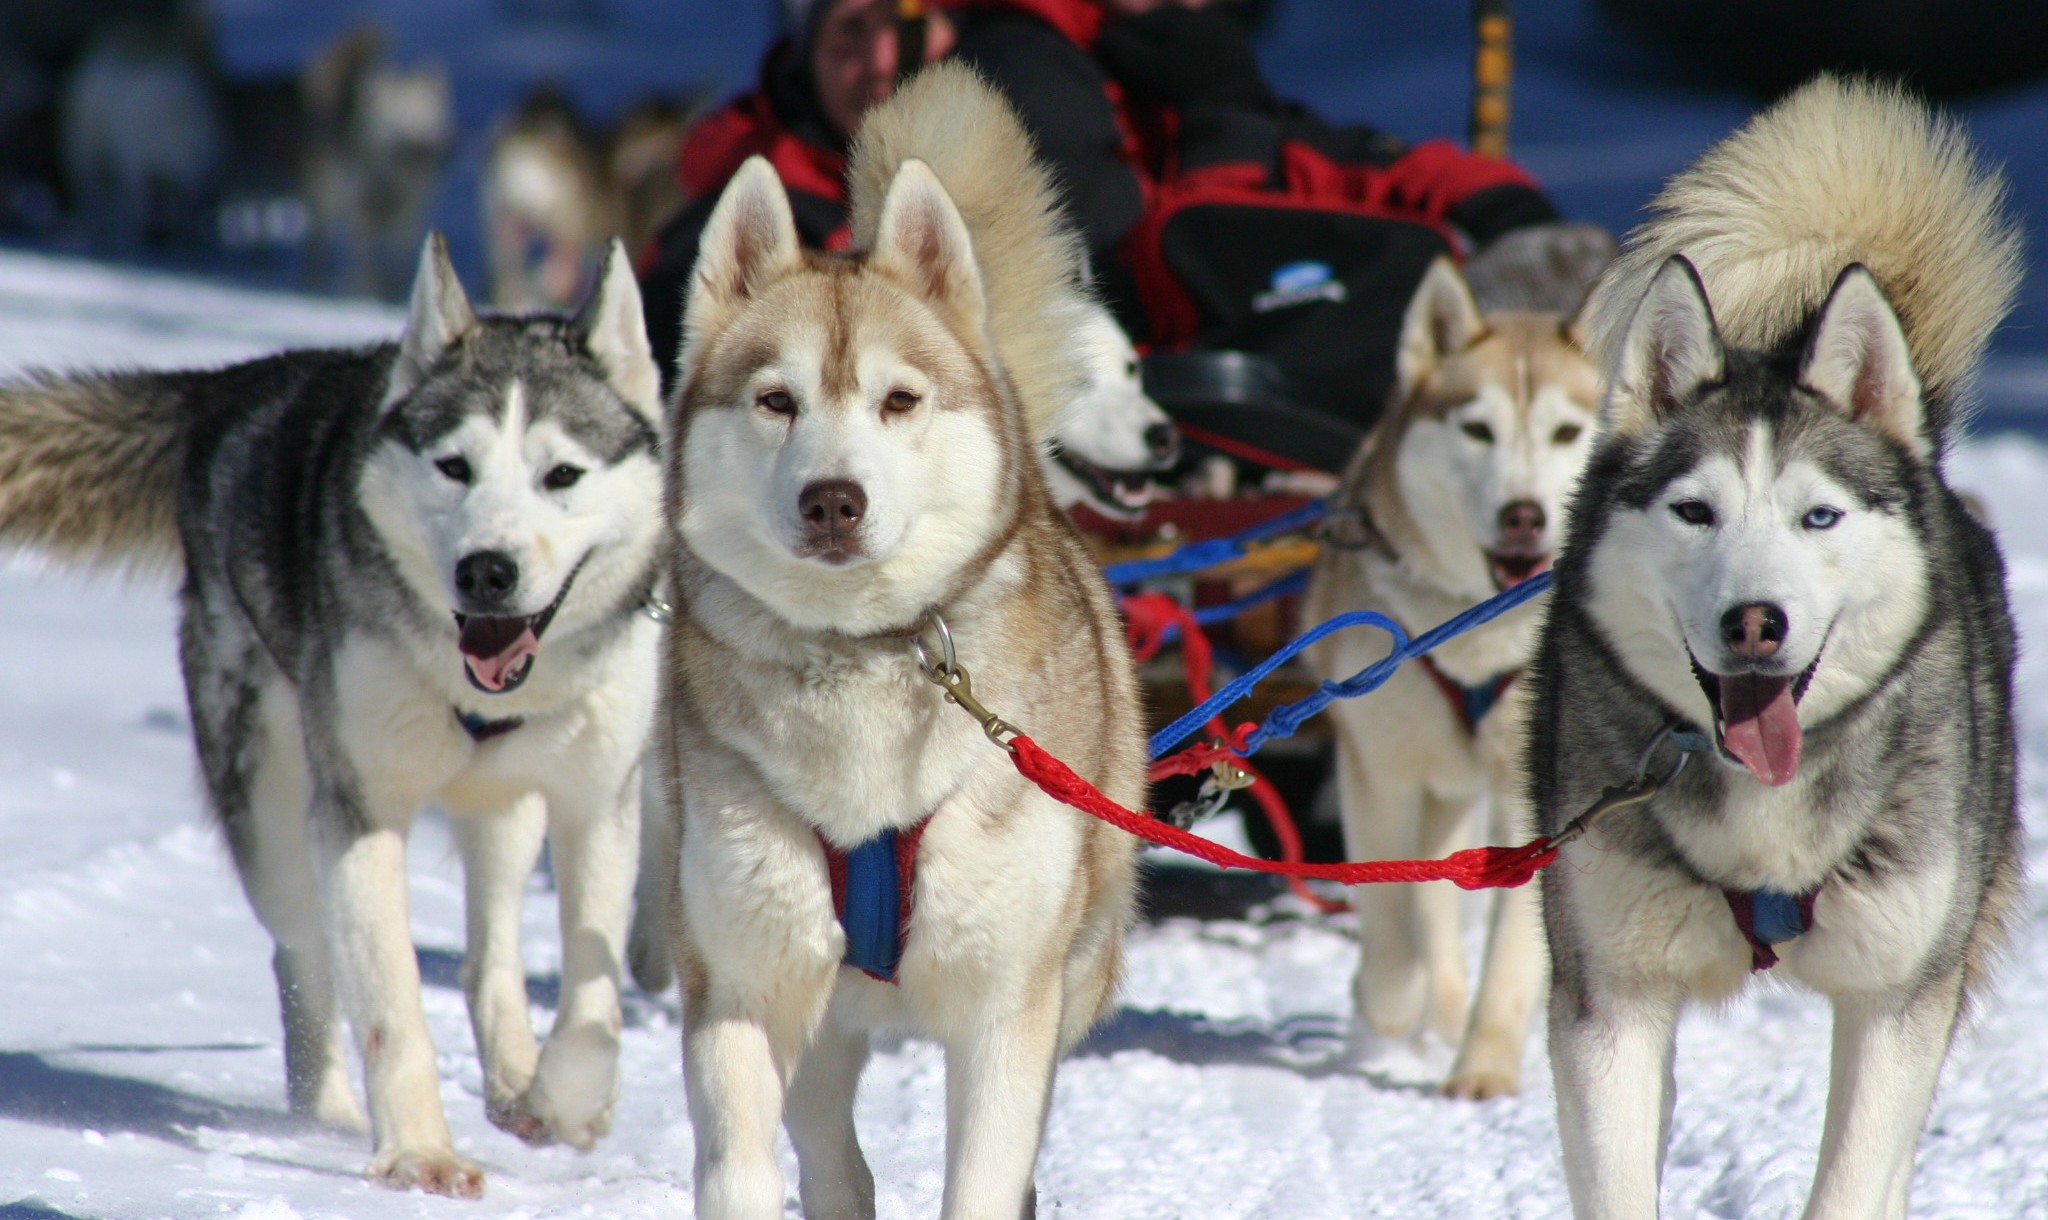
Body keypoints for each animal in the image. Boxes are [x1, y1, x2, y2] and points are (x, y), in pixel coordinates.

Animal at [0, 233, 663, 1195]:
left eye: (562, 475)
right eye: (454, 466)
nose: (487, 571)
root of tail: (239, 388)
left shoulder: (596, 803)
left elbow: (592, 1001)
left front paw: (566, 1104)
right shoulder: (358, 811)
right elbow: (389, 1001)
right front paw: (421, 1151)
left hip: (503, 813)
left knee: (490, 951)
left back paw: (510, 1076)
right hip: (272, 815)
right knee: (304, 953)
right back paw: (332, 1114)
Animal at [659, 66, 1155, 1220]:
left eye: (898, 400)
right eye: (775, 400)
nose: (832, 499)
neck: (859, 665)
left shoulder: (1005, 1014)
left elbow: (984, 1177)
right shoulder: (738, 982)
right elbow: (741, 1163)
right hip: (816, 999)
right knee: (831, 1152)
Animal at [1310, 256, 1597, 1097]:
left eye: (1567, 432)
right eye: (1477, 429)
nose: (1524, 514)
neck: (1478, 629)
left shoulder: (1533, 799)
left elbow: (1511, 948)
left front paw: (1486, 1066)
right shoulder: (1378, 769)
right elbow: (1391, 918)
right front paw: (1391, 1001)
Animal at [1540, 78, 2015, 1220]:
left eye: (1817, 516)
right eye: (1693, 510)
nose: (1753, 621)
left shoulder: (1897, 999)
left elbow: (1851, 1178)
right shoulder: (1608, 997)